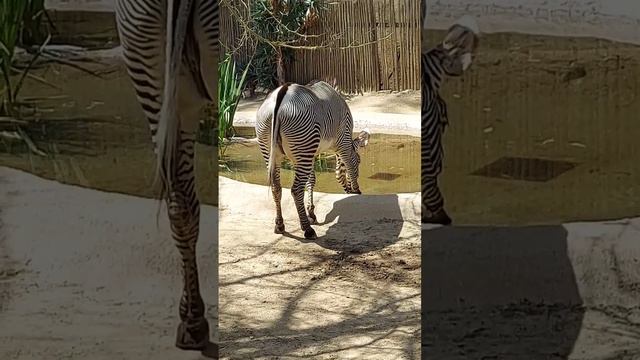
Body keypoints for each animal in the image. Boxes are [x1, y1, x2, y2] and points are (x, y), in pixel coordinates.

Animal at [255, 80, 370, 240]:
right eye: (359, 161)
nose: (348, 190)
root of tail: (282, 92)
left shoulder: (311, 153)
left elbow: (312, 180)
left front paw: (311, 213)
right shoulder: (343, 141)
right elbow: (350, 166)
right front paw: (356, 191)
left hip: (272, 150)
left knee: (276, 188)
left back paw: (279, 225)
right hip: (302, 144)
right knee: (296, 189)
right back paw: (307, 230)